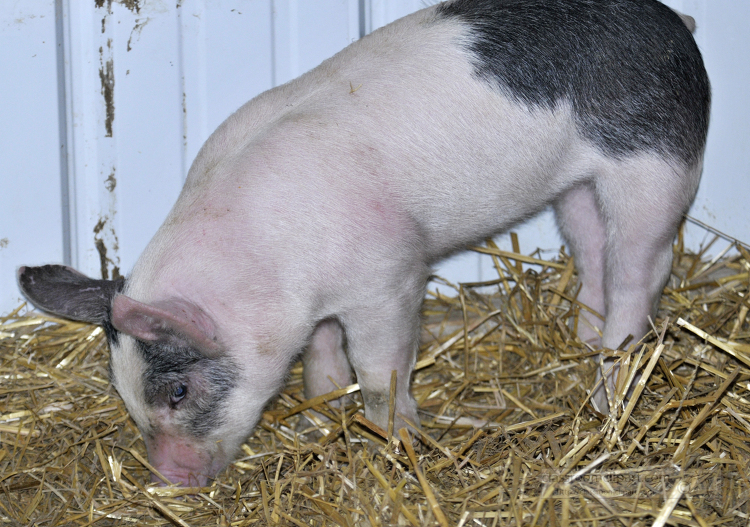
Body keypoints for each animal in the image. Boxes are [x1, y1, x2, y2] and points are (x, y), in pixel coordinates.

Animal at [17, 0, 712, 486]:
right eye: (123, 391)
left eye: (178, 392)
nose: (168, 480)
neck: (269, 267)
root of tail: (676, 24)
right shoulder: (317, 304)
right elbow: (323, 359)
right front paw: (318, 418)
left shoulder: (391, 279)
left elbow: (379, 370)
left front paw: (394, 437)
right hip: (573, 186)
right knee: (593, 252)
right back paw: (583, 341)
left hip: (655, 165)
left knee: (642, 270)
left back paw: (608, 390)